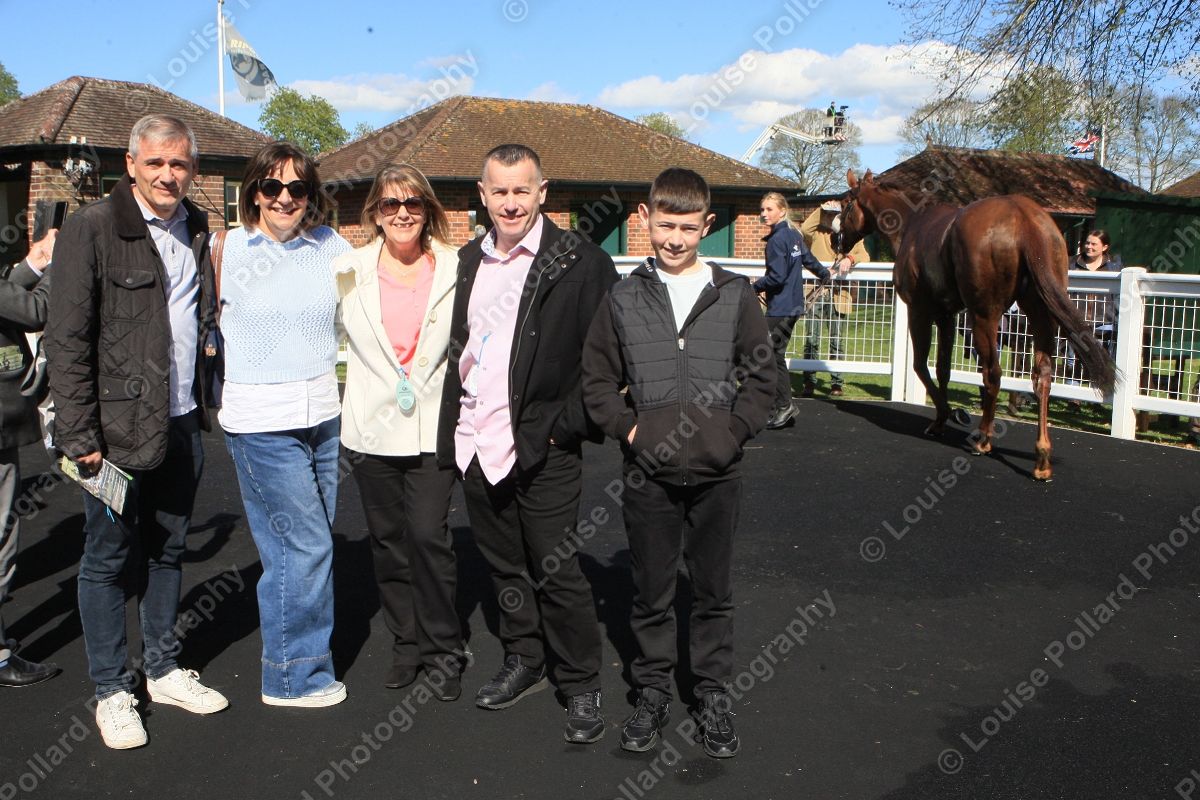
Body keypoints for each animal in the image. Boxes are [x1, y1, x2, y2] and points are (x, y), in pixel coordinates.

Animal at [836, 169, 1117, 481]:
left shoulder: (920, 311)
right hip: (1040, 313)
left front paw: (945, 415)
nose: (837, 241)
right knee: (1042, 375)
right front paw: (942, 418)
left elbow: (921, 365)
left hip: (985, 316)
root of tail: (1026, 218)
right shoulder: (947, 315)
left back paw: (984, 438)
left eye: (845, 204)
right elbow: (943, 368)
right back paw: (1042, 457)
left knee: (992, 373)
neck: (913, 225)